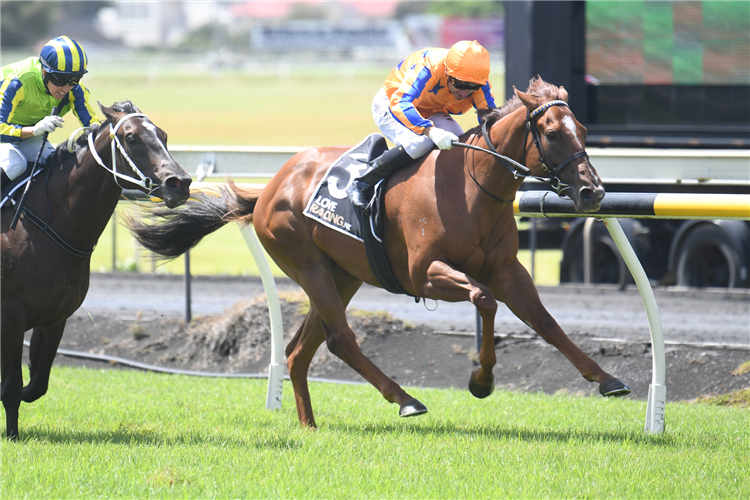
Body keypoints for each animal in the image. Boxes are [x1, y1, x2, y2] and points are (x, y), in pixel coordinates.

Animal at [2, 101, 194, 438]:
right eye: (131, 138)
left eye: (164, 135)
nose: (179, 183)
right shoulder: (10, 314)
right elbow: (12, 388)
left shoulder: (55, 317)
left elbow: (36, 385)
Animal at [132, 79, 632, 430]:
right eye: (551, 133)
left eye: (582, 130)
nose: (592, 191)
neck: (473, 188)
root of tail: (270, 187)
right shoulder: (424, 274)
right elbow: (485, 300)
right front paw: (481, 381)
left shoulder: (508, 270)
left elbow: (546, 322)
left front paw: (607, 379)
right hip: (307, 264)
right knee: (339, 339)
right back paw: (405, 399)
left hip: (343, 274)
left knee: (299, 351)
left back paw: (309, 425)